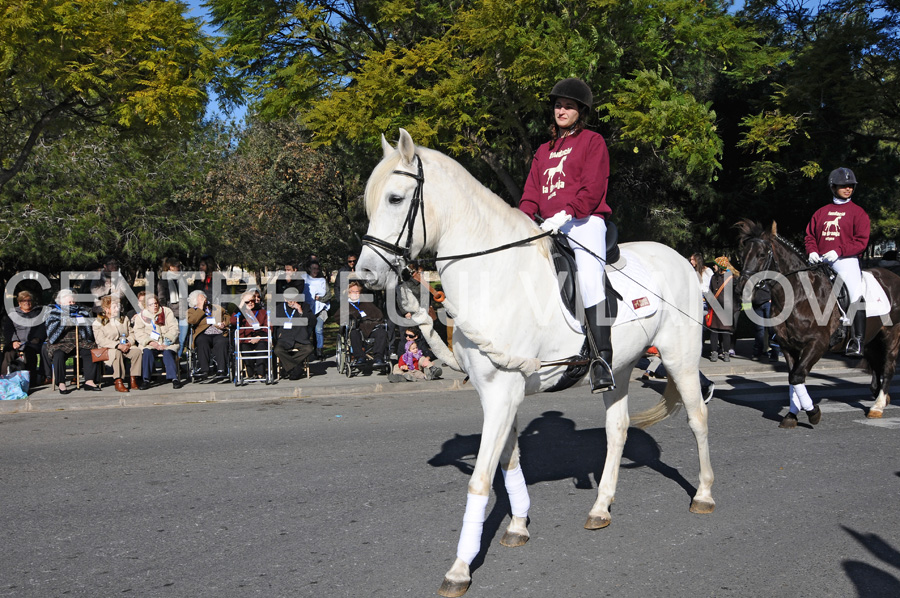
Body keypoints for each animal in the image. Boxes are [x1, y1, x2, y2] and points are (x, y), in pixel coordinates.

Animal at [356, 129, 712, 596]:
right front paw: (518, 525)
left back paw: (703, 495)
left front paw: (460, 567)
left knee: (697, 418)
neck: (494, 274)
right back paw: (601, 507)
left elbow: (481, 477)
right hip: (619, 369)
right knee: (617, 429)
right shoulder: (496, 393)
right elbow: (508, 462)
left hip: (680, 358)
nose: (365, 275)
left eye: (396, 198)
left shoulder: (502, 393)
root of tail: (678, 257)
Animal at [736, 220, 900, 422]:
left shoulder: (817, 344)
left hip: (892, 333)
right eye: (742, 255)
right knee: (876, 365)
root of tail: (892, 276)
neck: (799, 296)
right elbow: (793, 378)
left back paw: (878, 405)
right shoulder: (788, 346)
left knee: (888, 366)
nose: (741, 288)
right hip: (871, 338)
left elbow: (797, 376)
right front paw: (792, 414)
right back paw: (880, 396)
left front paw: (812, 411)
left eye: (761, 254)